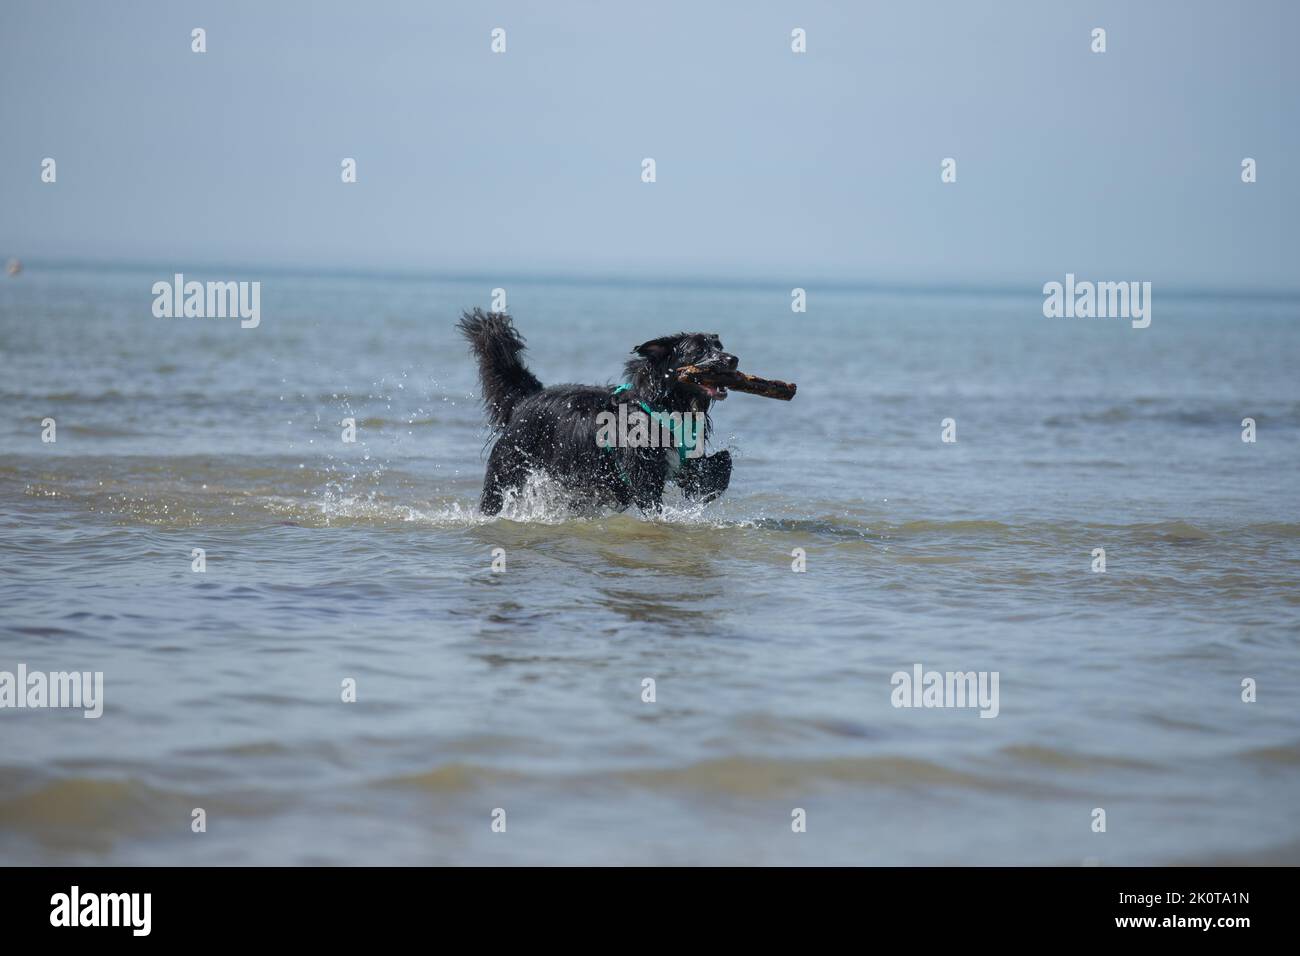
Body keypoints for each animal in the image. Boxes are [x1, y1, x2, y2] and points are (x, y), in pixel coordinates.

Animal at [460, 310, 738, 512]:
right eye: (699, 350)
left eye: (719, 345)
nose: (733, 359)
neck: (665, 405)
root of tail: (528, 398)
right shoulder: (643, 472)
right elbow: (651, 500)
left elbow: (721, 463)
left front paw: (707, 490)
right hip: (508, 467)